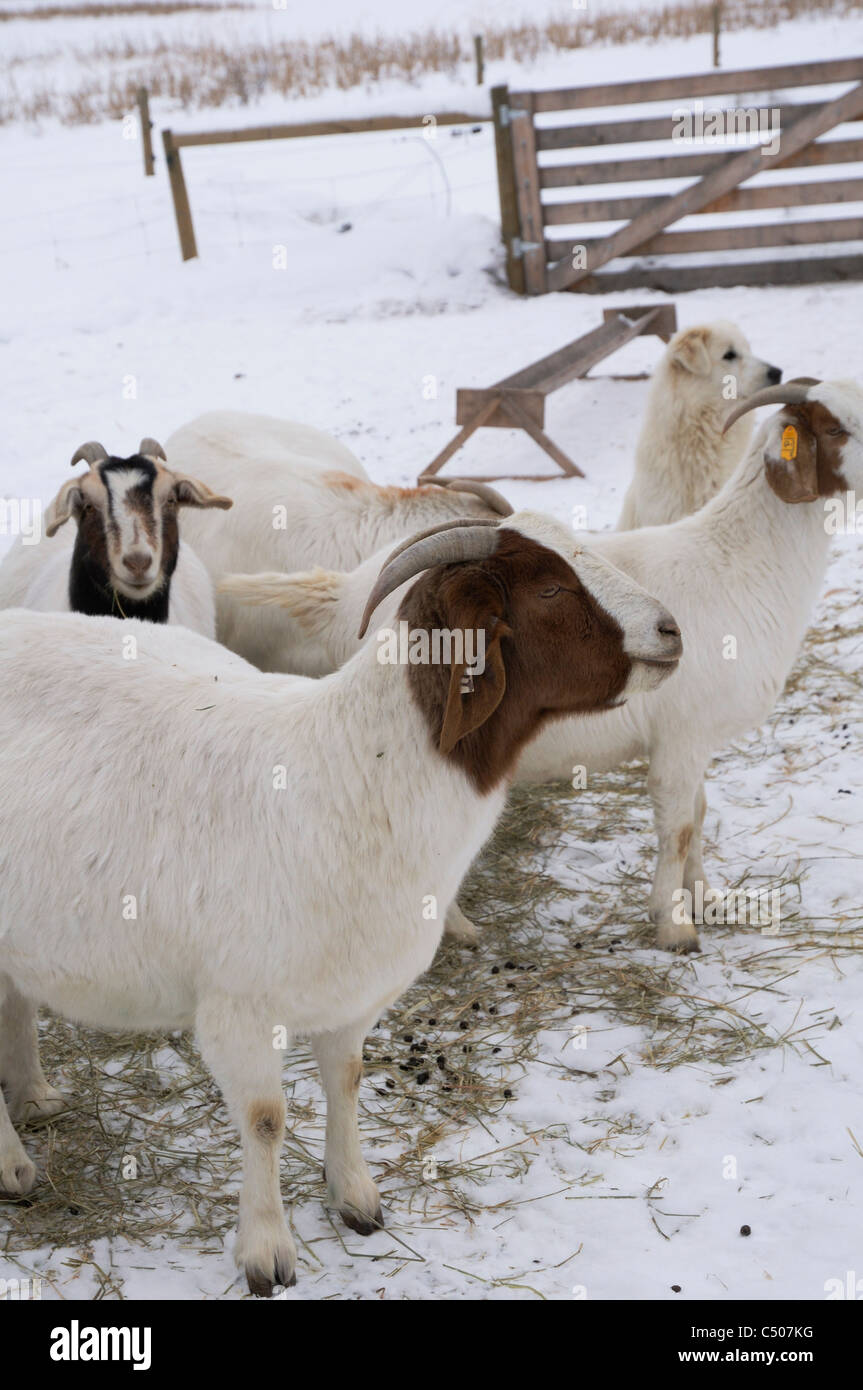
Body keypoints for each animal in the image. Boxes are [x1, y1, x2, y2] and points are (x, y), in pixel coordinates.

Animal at [0, 513, 681, 1294]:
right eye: (549, 588)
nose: (671, 631)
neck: (351, 768)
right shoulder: (238, 1005)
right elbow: (265, 1118)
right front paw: (266, 1251)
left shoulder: (353, 993)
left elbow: (347, 1081)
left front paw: (355, 1198)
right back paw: (13, 1165)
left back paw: (35, 1098)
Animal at [221, 380, 863, 953]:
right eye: (836, 429)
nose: (669, 630)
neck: (741, 561)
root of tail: (345, 596)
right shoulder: (681, 737)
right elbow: (678, 828)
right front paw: (675, 927)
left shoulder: (696, 740)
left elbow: (700, 819)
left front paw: (705, 898)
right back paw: (460, 930)